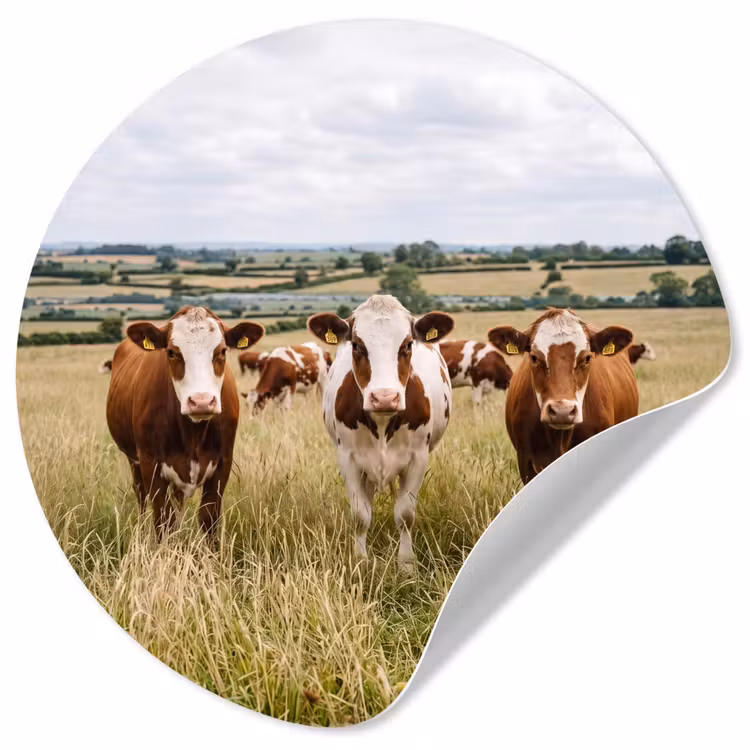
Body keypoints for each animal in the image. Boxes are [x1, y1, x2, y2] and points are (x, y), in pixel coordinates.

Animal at [106, 306, 264, 537]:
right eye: (171, 352)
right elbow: (163, 521)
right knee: (142, 497)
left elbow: (209, 519)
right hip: (134, 461)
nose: (201, 402)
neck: (193, 434)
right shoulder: (150, 464)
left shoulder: (222, 464)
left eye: (222, 351)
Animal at [308, 294, 454, 573]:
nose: (385, 397)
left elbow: (405, 514)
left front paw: (406, 565)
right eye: (356, 346)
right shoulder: (348, 459)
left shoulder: (418, 458)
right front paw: (360, 561)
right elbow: (360, 514)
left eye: (407, 345)